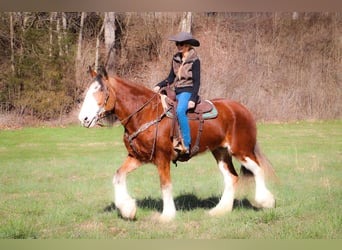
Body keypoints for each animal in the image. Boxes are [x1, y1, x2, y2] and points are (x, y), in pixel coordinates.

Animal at [77, 66, 276, 221]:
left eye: (100, 91)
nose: (83, 118)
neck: (145, 114)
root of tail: (243, 109)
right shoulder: (137, 157)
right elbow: (118, 175)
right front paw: (128, 209)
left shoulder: (162, 158)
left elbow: (165, 185)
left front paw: (167, 215)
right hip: (220, 152)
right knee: (231, 177)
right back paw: (220, 210)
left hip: (241, 150)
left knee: (257, 169)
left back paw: (266, 201)